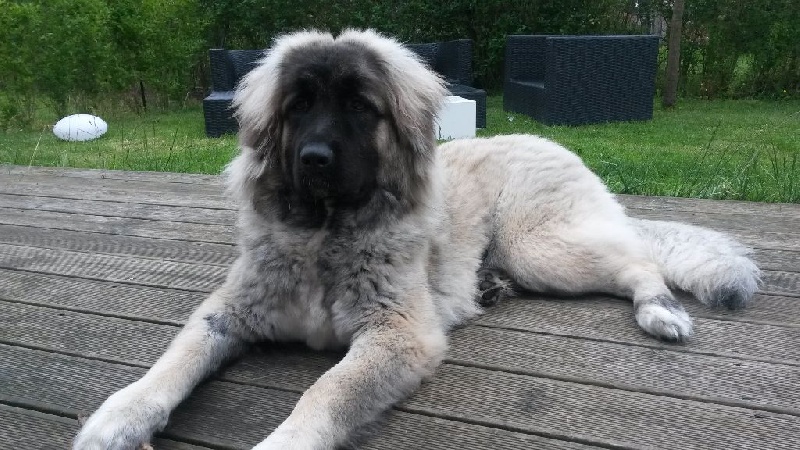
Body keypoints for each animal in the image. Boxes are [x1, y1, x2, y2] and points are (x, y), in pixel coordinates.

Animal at [73, 29, 760, 449]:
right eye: (298, 107)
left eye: (360, 107)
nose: (315, 159)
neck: (326, 238)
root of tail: (551, 142)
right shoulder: (226, 312)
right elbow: (172, 362)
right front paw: (118, 418)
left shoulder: (397, 335)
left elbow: (325, 391)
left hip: (538, 246)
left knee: (639, 260)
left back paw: (660, 312)